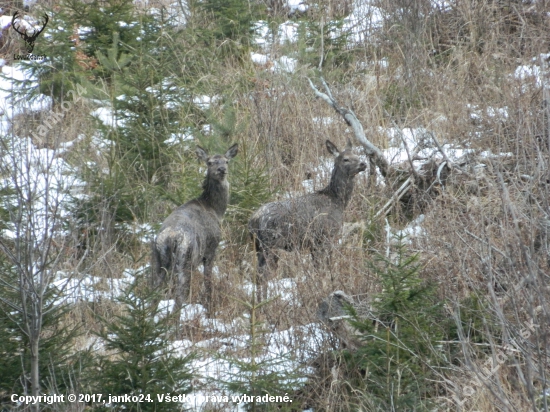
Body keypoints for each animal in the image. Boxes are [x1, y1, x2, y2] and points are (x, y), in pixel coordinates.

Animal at [152, 143, 238, 318]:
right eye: (210, 162)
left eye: (226, 161)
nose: (221, 169)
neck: (215, 210)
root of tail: (171, 238)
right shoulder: (211, 249)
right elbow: (208, 282)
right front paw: (210, 312)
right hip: (185, 261)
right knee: (179, 299)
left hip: (157, 261)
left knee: (151, 297)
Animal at [250, 139, 366, 300]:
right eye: (346, 159)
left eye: (356, 154)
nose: (363, 163)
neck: (337, 202)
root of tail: (254, 219)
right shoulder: (325, 236)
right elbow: (325, 267)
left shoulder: (314, 243)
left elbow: (318, 269)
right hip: (270, 245)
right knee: (263, 275)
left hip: (259, 247)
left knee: (258, 275)